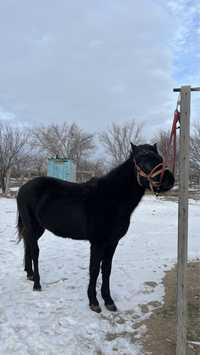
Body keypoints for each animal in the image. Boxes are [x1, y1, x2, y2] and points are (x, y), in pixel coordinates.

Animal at [16, 143, 173, 312]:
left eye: (160, 158)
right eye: (142, 161)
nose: (170, 180)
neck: (111, 199)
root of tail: (23, 188)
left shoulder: (112, 242)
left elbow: (106, 270)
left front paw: (109, 300)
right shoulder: (97, 243)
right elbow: (94, 270)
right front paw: (94, 302)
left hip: (38, 228)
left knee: (28, 245)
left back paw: (30, 274)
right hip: (32, 225)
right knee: (35, 251)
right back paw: (37, 284)